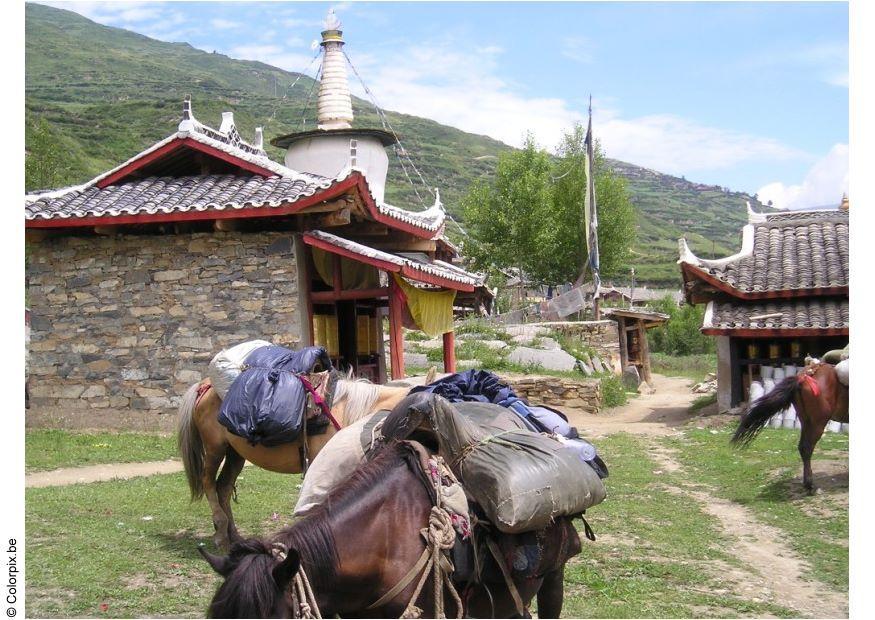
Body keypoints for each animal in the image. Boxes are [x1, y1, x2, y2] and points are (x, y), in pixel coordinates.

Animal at [176, 370, 416, 548]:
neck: (348, 411)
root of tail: (204, 386)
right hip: (214, 448)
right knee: (208, 482)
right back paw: (220, 533)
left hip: (235, 453)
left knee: (223, 487)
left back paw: (234, 536)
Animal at [732, 358, 848, 494]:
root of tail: (803, 377)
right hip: (817, 422)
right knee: (807, 447)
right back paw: (809, 485)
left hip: (806, 421)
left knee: (802, 447)